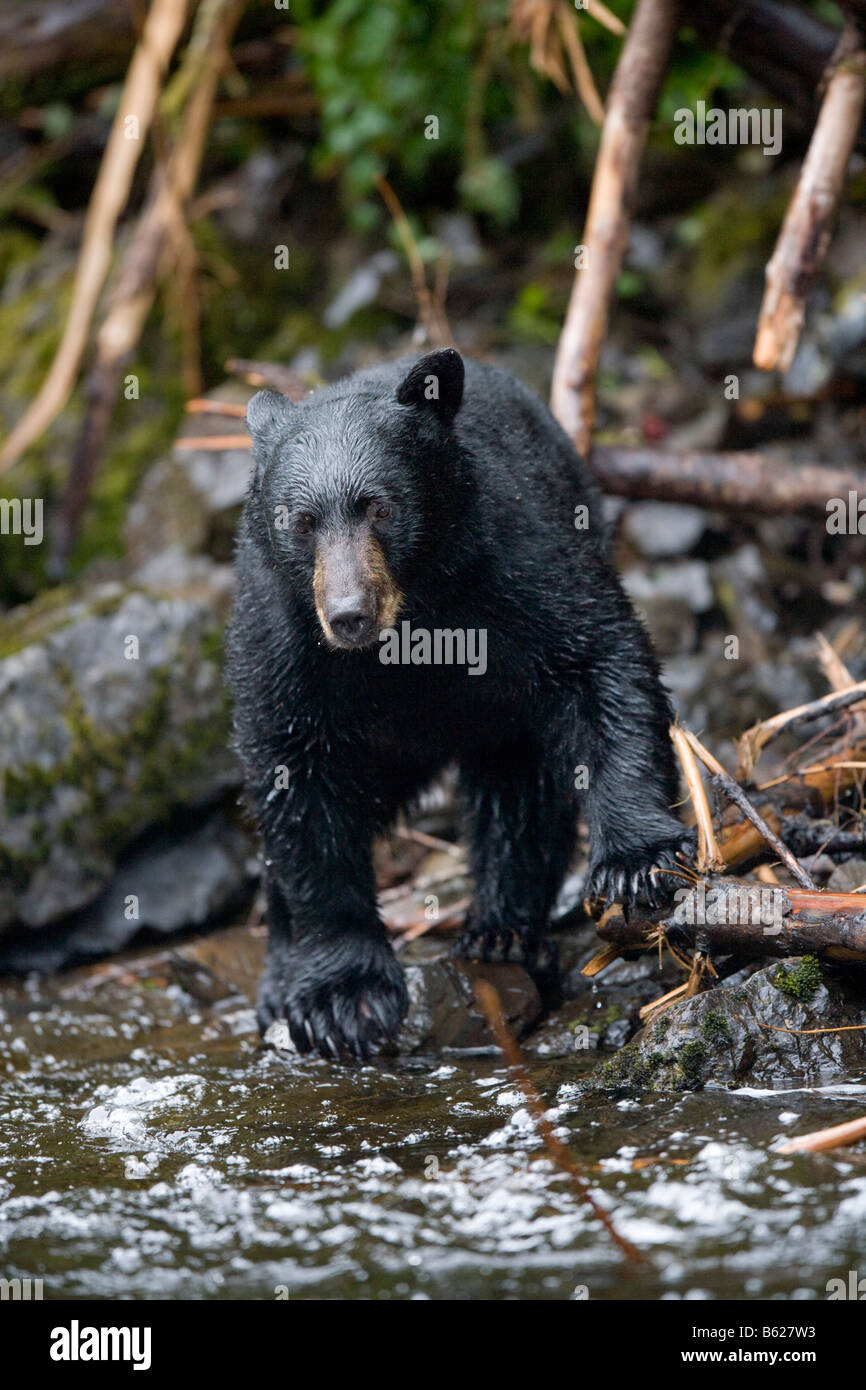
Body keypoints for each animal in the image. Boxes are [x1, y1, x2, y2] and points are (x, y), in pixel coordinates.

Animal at [226, 348, 692, 1060]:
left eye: (381, 507)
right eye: (301, 522)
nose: (349, 615)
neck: (413, 624)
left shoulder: (515, 559)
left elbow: (601, 662)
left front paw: (637, 862)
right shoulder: (284, 636)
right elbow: (296, 780)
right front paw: (341, 994)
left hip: (501, 713)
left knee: (520, 792)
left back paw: (502, 931)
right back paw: (282, 976)